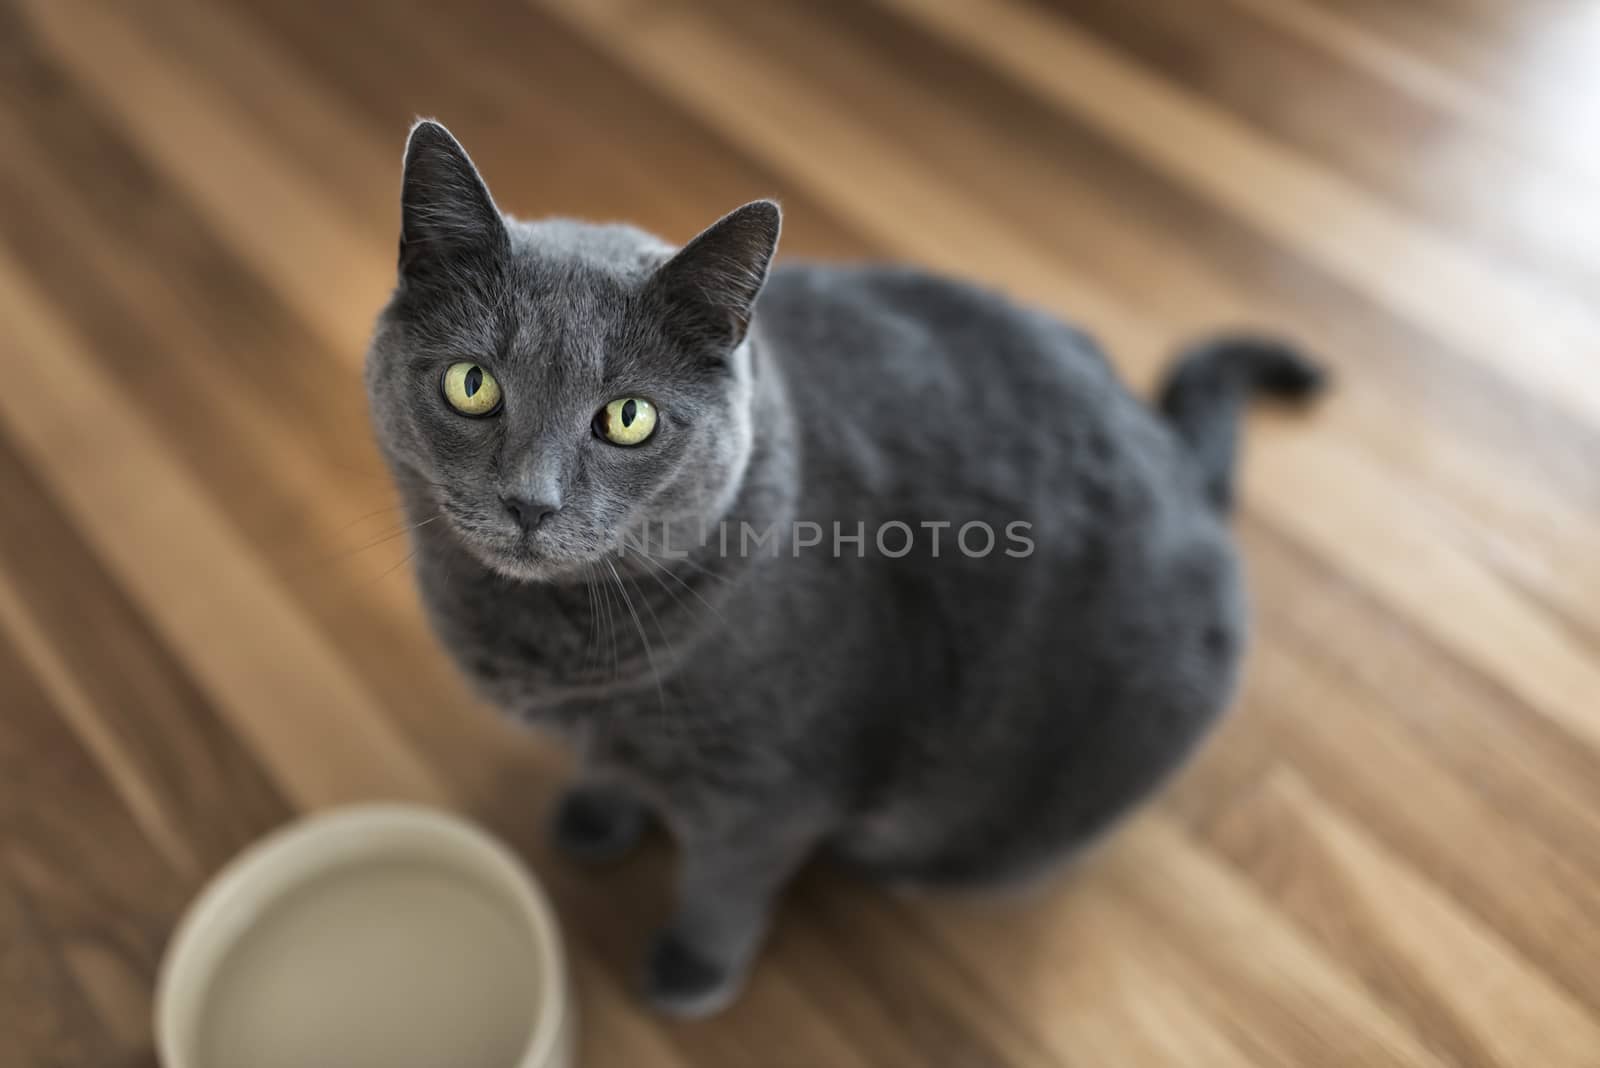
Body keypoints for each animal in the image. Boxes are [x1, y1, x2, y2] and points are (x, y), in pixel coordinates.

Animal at [366, 120, 1324, 1016]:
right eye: (472, 385)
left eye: (627, 418)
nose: (530, 502)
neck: (567, 646)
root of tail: (1176, 458)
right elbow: (607, 767)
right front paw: (597, 815)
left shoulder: (771, 787)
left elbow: (727, 879)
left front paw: (692, 970)